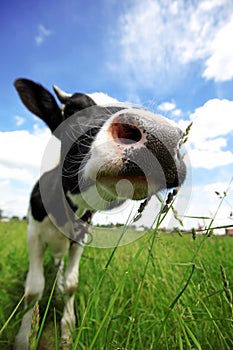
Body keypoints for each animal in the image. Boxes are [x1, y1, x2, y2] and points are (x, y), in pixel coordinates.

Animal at [13, 78, 187, 348]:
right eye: (72, 110)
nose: (161, 136)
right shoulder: (33, 234)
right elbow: (33, 289)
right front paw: (24, 337)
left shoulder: (79, 239)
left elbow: (72, 284)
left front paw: (67, 331)